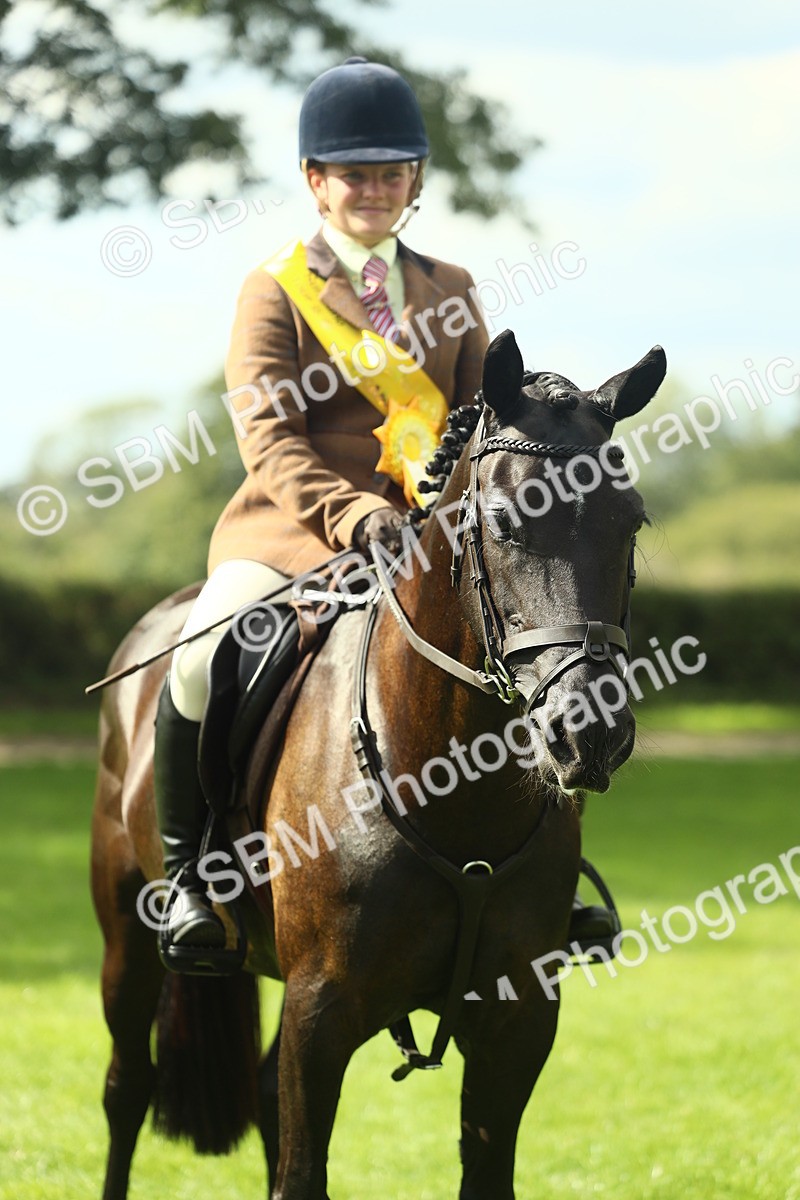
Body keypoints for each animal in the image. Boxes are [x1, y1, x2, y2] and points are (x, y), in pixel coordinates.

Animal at [90, 328, 666, 1199]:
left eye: (631, 520)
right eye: (506, 520)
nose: (589, 731)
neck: (449, 783)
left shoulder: (519, 1019)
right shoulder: (320, 1011)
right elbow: (301, 1172)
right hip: (127, 933)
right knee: (128, 1088)